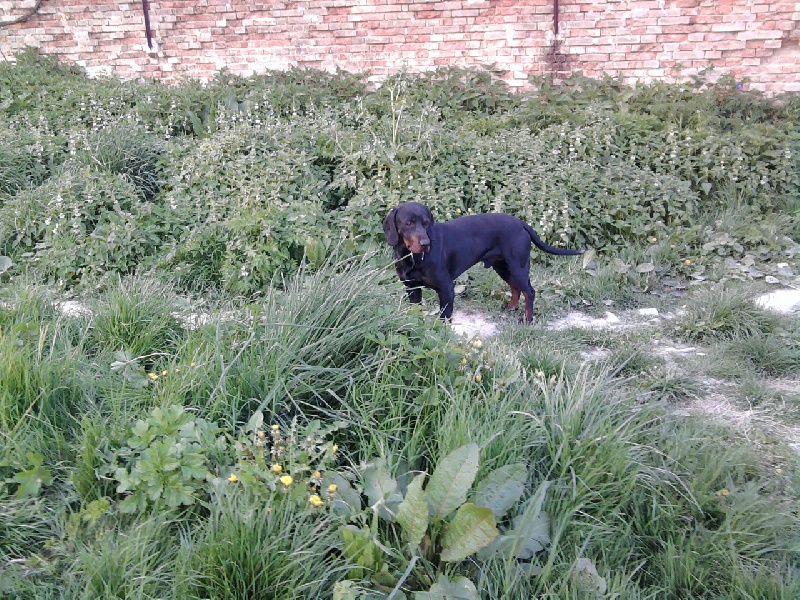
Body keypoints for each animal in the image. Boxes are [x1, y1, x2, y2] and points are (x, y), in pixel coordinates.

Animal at [383, 202, 584, 322]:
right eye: (408, 223)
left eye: (426, 223)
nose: (425, 243)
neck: (412, 257)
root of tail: (521, 224)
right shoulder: (412, 288)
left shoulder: (446, 288)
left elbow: (444, 317)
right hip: (502, 267)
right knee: (515, 288)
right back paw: (511, 308)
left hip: (517, 266)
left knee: (529, 291)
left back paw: (527, 319)